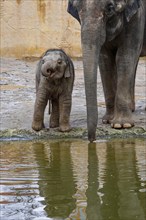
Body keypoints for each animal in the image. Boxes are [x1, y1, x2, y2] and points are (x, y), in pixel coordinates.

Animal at [68, 0, 145, 142]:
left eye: (110, 8)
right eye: (76, 8)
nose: (92, 140)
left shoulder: (138, 14)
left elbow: (125, 56)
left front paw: (122, 125)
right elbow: (105, 59)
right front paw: (108, 121)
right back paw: (131, 109)